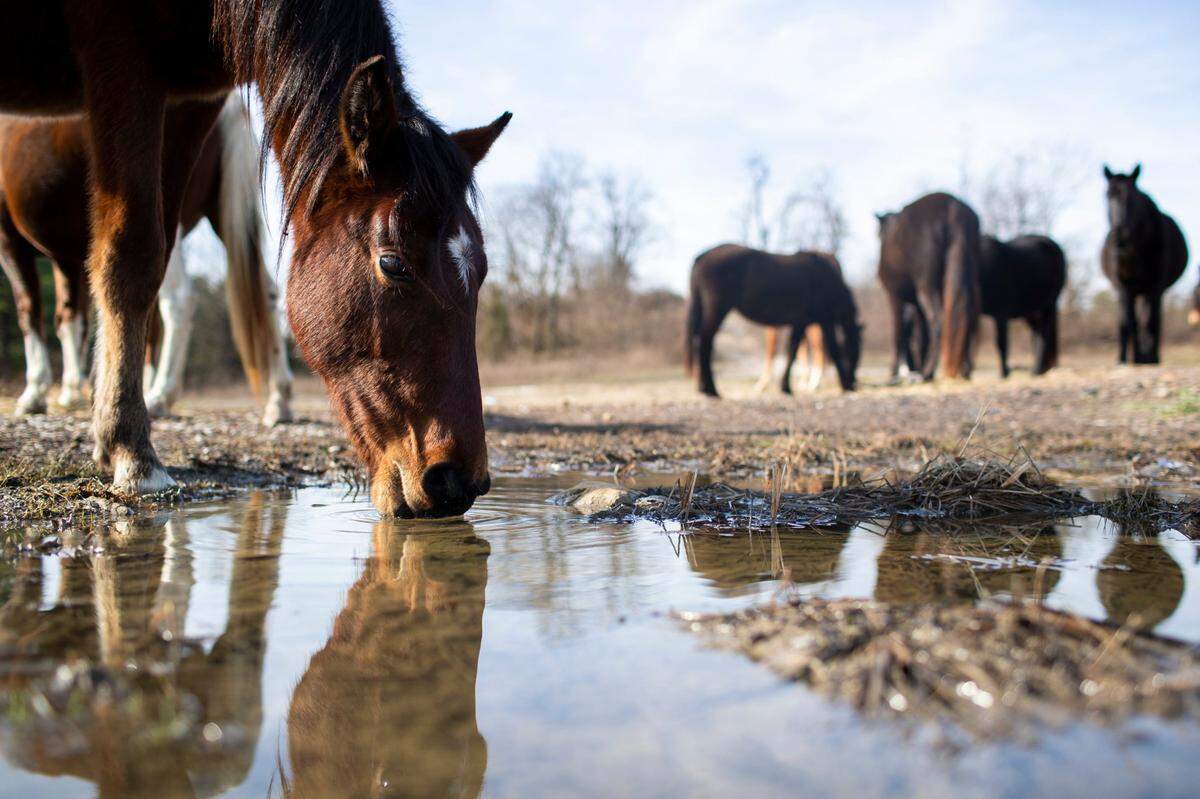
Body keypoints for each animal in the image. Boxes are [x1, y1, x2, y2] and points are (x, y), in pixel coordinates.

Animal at [0, 94, 295, 426]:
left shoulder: (10, 242)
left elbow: (30, 312)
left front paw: (35, 393)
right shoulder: (67, 260)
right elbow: (70, 319)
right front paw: (70, 391)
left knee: (178, 301)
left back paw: (160, 395)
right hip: (227, 216)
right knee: (266, 293)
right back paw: (278, 400)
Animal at [684, 245, 861, 398]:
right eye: (853, 352)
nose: (854, 384)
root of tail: (702, 256)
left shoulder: (801, 322)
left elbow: (792, 349)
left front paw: (785, 387)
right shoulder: (824, 319)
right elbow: (833, 350)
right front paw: (844, 384)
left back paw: (703, 387)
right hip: (718, 308)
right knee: (705, 342)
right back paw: (711, 390)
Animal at [876, 192, 981, 381]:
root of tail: (953, 207)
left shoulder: (895, 296)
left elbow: (899, 333)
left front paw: (896, 371)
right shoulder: (915, 305)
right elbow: (920, 336)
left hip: (927, 286)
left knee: (939, 321)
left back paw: (926, 372)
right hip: (968, 279)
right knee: (966, 319)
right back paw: (959, 371)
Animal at [979, 234, 1067, 378]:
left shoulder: (1001, 311)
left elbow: (1001, 343)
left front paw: (1004, 373)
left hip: (1049, 304)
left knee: (1044, 334)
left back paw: (1037, 369)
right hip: (1031, 311)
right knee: (1037, 332)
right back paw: (1040, 368)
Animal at [1100, 164, 1189, 364]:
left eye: (1132, 198)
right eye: (1107, 195)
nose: (1119, 238)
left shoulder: (1155, 287)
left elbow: (1148, 321)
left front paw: (1148, 357)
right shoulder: (1124, 287)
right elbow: (1130, 322)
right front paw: (1136, 357)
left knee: (1152, 319)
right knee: (1125, 321)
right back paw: (1124, 357)